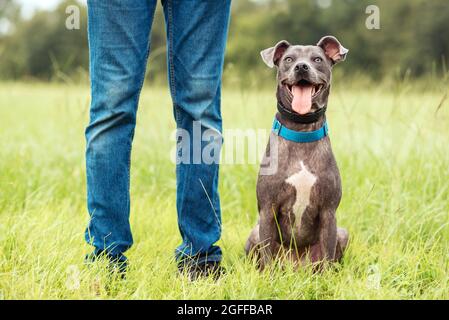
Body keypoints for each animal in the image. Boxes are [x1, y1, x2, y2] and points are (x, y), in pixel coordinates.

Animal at [245, 35, 346, 270]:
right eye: (289, 59)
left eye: (317, 59)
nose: (301, 67)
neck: (302, 131)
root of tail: (296, 266)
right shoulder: (267, 210)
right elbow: (267, 255)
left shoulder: (329, 212)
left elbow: (328, 256)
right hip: (254, 233)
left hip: (343, 233)